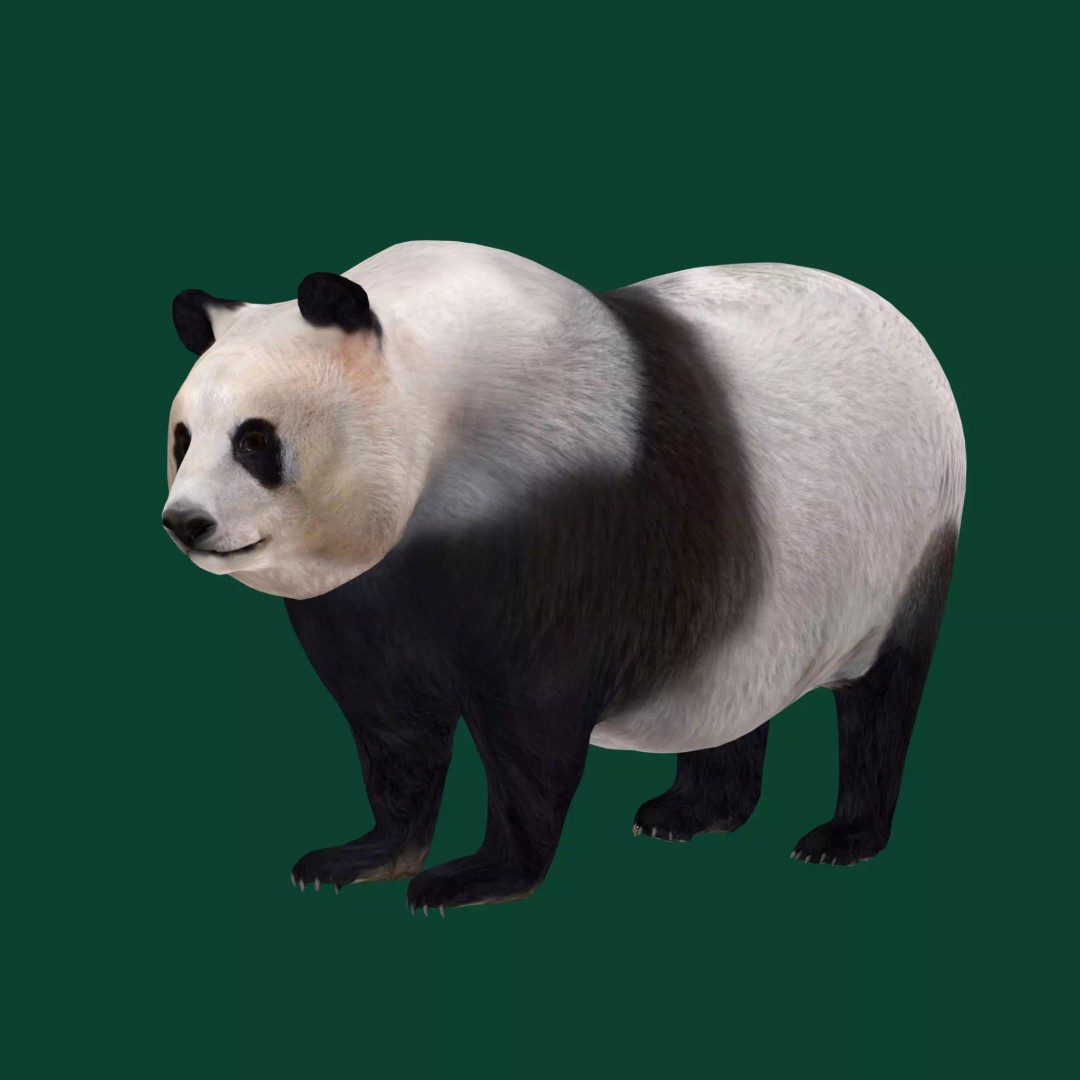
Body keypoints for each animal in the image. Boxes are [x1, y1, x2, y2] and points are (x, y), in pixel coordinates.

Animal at [162, 240, 965, 912]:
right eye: (182, 437)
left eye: (255, 440)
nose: (185, 522)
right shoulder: (369, 597)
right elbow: (394, 726)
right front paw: (360, 857)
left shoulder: (562, 516)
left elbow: (532, 726)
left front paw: (474, 877)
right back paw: (690, 813)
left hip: (905, 534)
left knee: (882, 699)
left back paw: (840, 839)